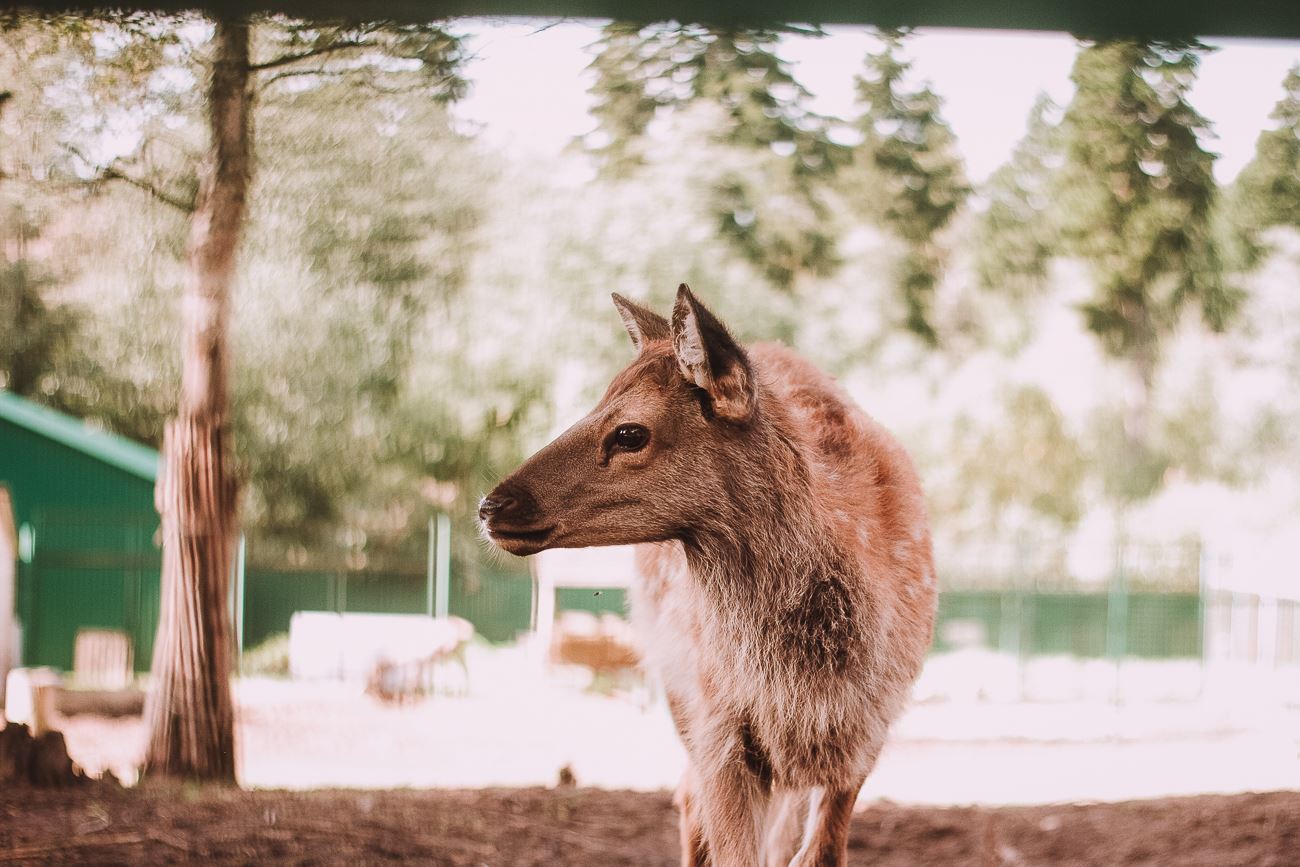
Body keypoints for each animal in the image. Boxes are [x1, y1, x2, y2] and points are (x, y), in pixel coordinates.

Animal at [478, 285, 935, 867]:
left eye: (630, 432)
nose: (492, 506)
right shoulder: (720, 728)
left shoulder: (866, 738)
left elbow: (819, 853)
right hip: (681, 696)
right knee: (688, 799)